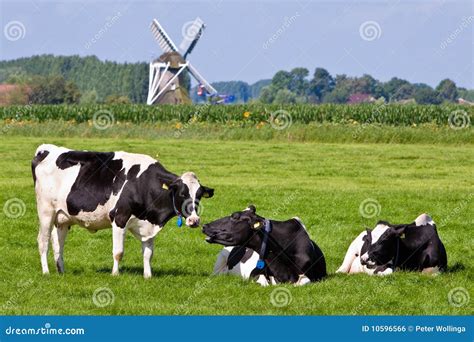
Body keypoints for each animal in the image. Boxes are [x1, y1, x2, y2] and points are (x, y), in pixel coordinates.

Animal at [34, 144, 216, 278]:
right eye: (182, 193)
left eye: (199, 195)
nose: (194, 220)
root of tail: (46, 149)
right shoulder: (119, 218)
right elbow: (118, 252)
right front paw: (115, 274)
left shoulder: (148, 224)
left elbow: (148, 253)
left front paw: (148, 276)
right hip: (46, 212)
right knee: (43, 241)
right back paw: (46, 272)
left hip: (63, 217)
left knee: (58, 243)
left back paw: (61, 271)